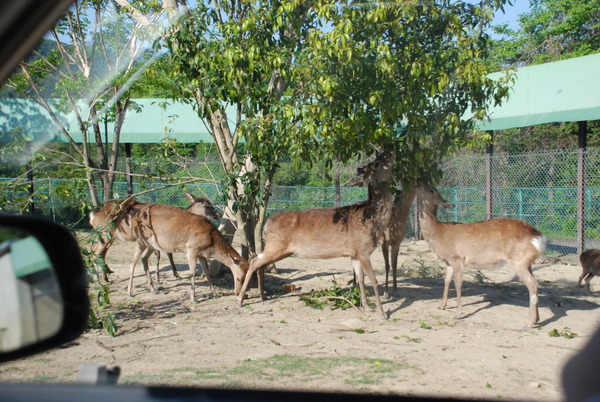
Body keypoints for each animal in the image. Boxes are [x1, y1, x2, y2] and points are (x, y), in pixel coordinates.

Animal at [88, 192, 221, 282]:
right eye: (208, 206)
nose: (218, 214)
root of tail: (92, 214)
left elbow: (165, 255)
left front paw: (170, 275)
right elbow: (163, 255)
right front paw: (162, 278)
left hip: (108, 236)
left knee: (100, 253)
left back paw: (106, 279)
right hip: (105, 232)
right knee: (95, 251)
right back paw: (97, 280)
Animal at [237, 149, 396, 318]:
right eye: (376, 163)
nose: (391, 150)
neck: (372, 219)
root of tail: (267, 223)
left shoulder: (355, 253)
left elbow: (360, 280)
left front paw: (367, 307)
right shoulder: (363, 250)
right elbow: (374, 280)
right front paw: (383, 313)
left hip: (280, 249)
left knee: (257, 261)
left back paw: (261, 296)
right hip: (276, 245)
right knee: (254, 261)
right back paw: (240, 299)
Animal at [414, 182, 548, 326]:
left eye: (432, 190)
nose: (419, 181)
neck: (439, 233)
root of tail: (538, 237)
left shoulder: (457, 258)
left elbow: (458, 283)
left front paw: (458, 314)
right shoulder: (448, 261)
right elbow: (446, 280)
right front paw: (442, 306)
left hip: (518, 261)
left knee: (532, 284)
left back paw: (529, 323)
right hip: (527, 262)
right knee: (534, 283)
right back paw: (537, 319)